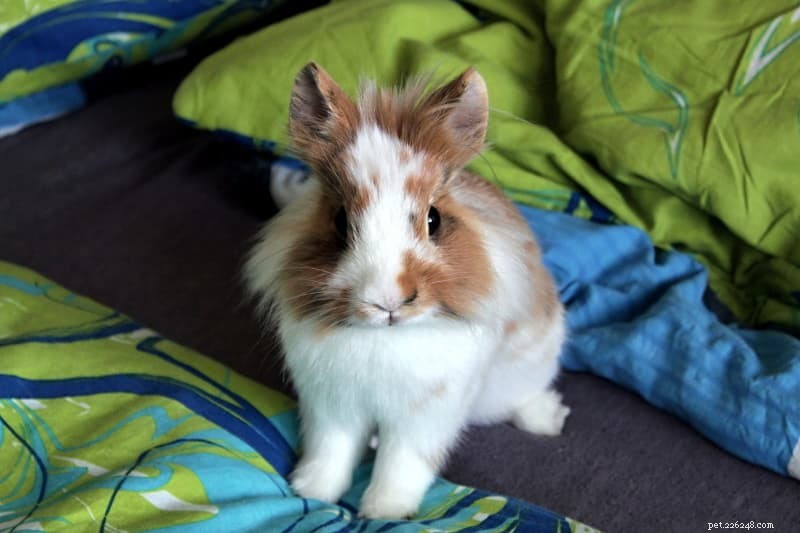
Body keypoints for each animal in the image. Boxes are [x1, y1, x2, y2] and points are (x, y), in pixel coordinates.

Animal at [244, 62, 569, 520]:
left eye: (434, 219)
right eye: (340, 221)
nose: (388, 301)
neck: (384, 338)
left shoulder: (424, 418)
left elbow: (403, 464)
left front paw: (385, 512)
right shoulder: (331, 407)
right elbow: (331, 452)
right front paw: (311, 491)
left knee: (525, 396)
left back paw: (548, 419)